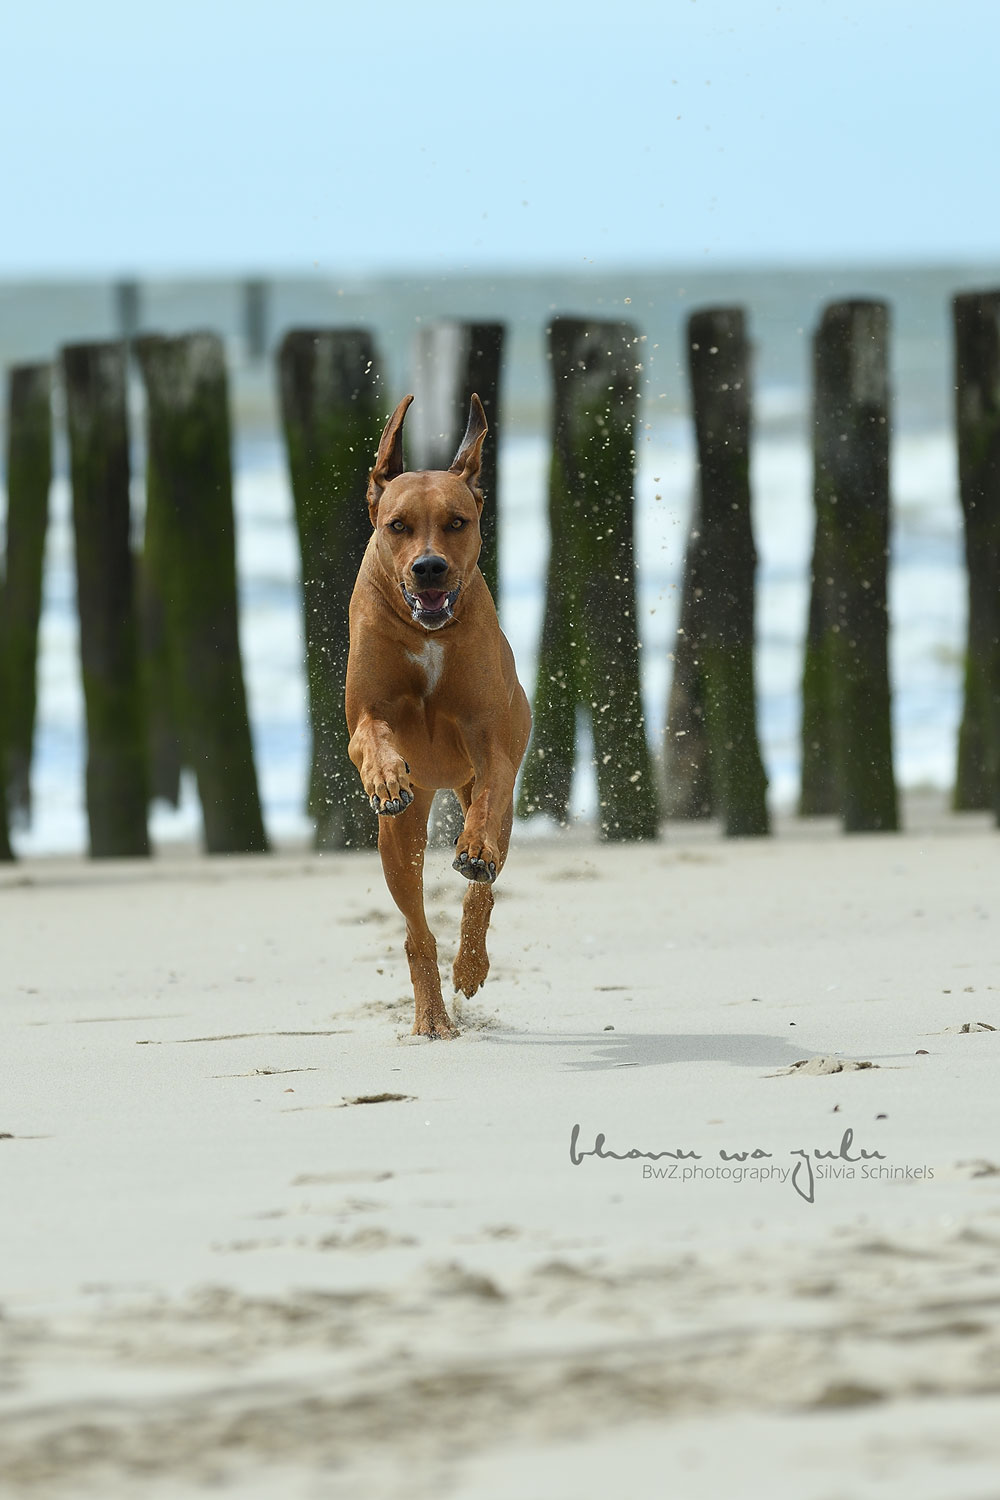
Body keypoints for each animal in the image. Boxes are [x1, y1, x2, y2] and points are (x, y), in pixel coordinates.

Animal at [346, 393, 530, 1038]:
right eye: (397, 525)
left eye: (457, 521)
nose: (429, 567)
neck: (428, 632)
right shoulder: (364, 715)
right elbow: (371, 735)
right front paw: (384, 775)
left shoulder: (491, 743)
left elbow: (493, 784)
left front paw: (471, 847)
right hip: (399, 840)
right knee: (415, 928)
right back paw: (432, 1018)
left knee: (485, 883)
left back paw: (470, 961)